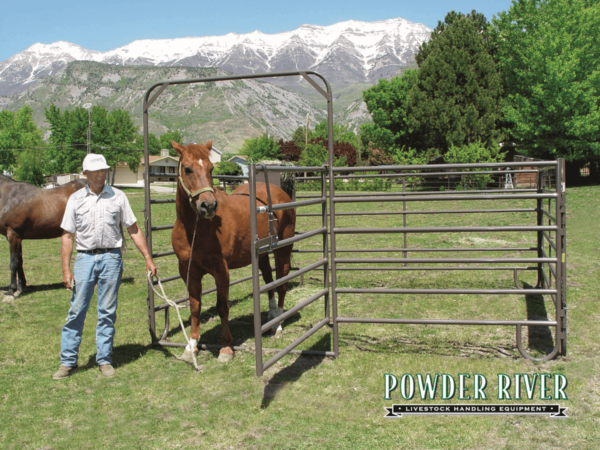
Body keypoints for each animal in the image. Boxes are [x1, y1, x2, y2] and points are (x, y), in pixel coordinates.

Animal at [170, 141, 296, 362]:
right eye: (187, 169)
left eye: (211, 168)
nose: (208, 206)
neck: (195, 228)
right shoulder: (188, 271)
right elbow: (195, 307)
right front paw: (191, 345)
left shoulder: (222, 271)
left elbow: (222, 307)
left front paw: (226, 348)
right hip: (262, 254)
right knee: (269, 281)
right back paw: (272, 315)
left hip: (282, 252)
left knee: (281, 284)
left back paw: (279, 324)